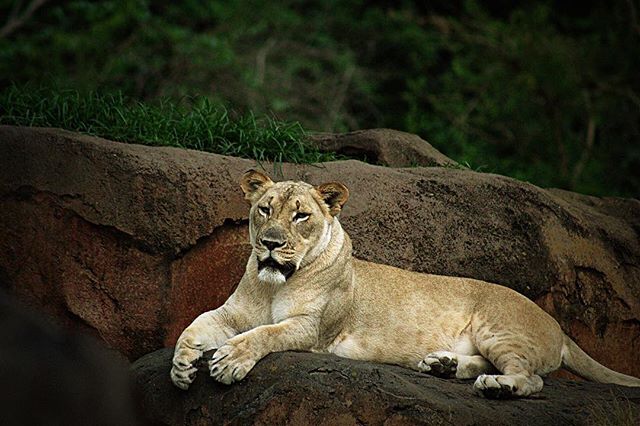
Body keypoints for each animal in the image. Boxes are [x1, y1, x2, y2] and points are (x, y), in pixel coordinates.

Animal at [170, 170, 640, 398]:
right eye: (265, 209)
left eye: (301, 215)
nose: (269, 243)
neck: (274, 284)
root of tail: (557, 325)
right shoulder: (232, 312)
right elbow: (195, 325)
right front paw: (181, 366)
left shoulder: (312, 329)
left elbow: (264, 334)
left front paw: (230, 361)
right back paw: (443, 365)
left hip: (500, 328)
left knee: (533, 379)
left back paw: (497, 387)